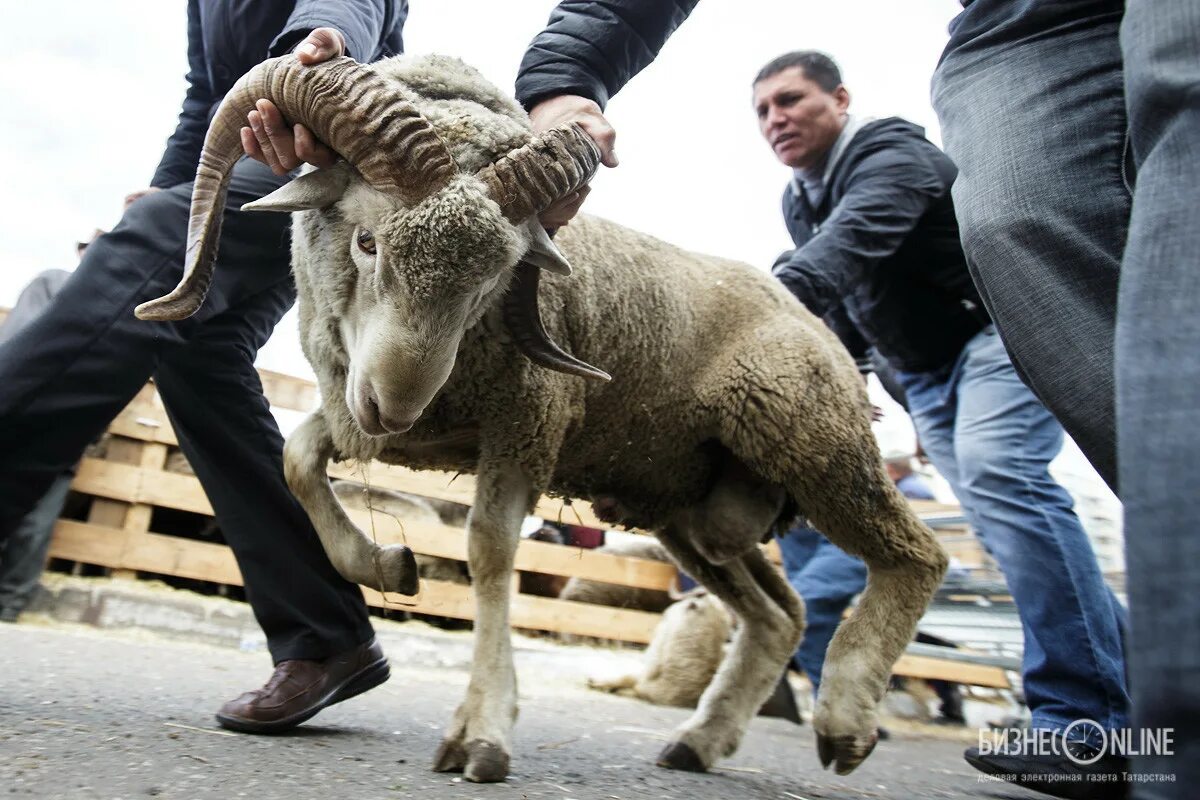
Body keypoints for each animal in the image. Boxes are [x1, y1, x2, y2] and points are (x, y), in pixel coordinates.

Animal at [136, 53, 945, 786]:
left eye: (495, 281)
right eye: (367, 241)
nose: (394, 410)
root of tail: (817, 323)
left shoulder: (525, 421)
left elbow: (491, 550)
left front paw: (482, 732)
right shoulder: (387, 414)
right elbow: (297, 460)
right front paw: (388, 565)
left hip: (810, 439)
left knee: (915, 557)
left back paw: (843, 722)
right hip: (691, 510)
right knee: (780, 614)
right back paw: (701, 741)